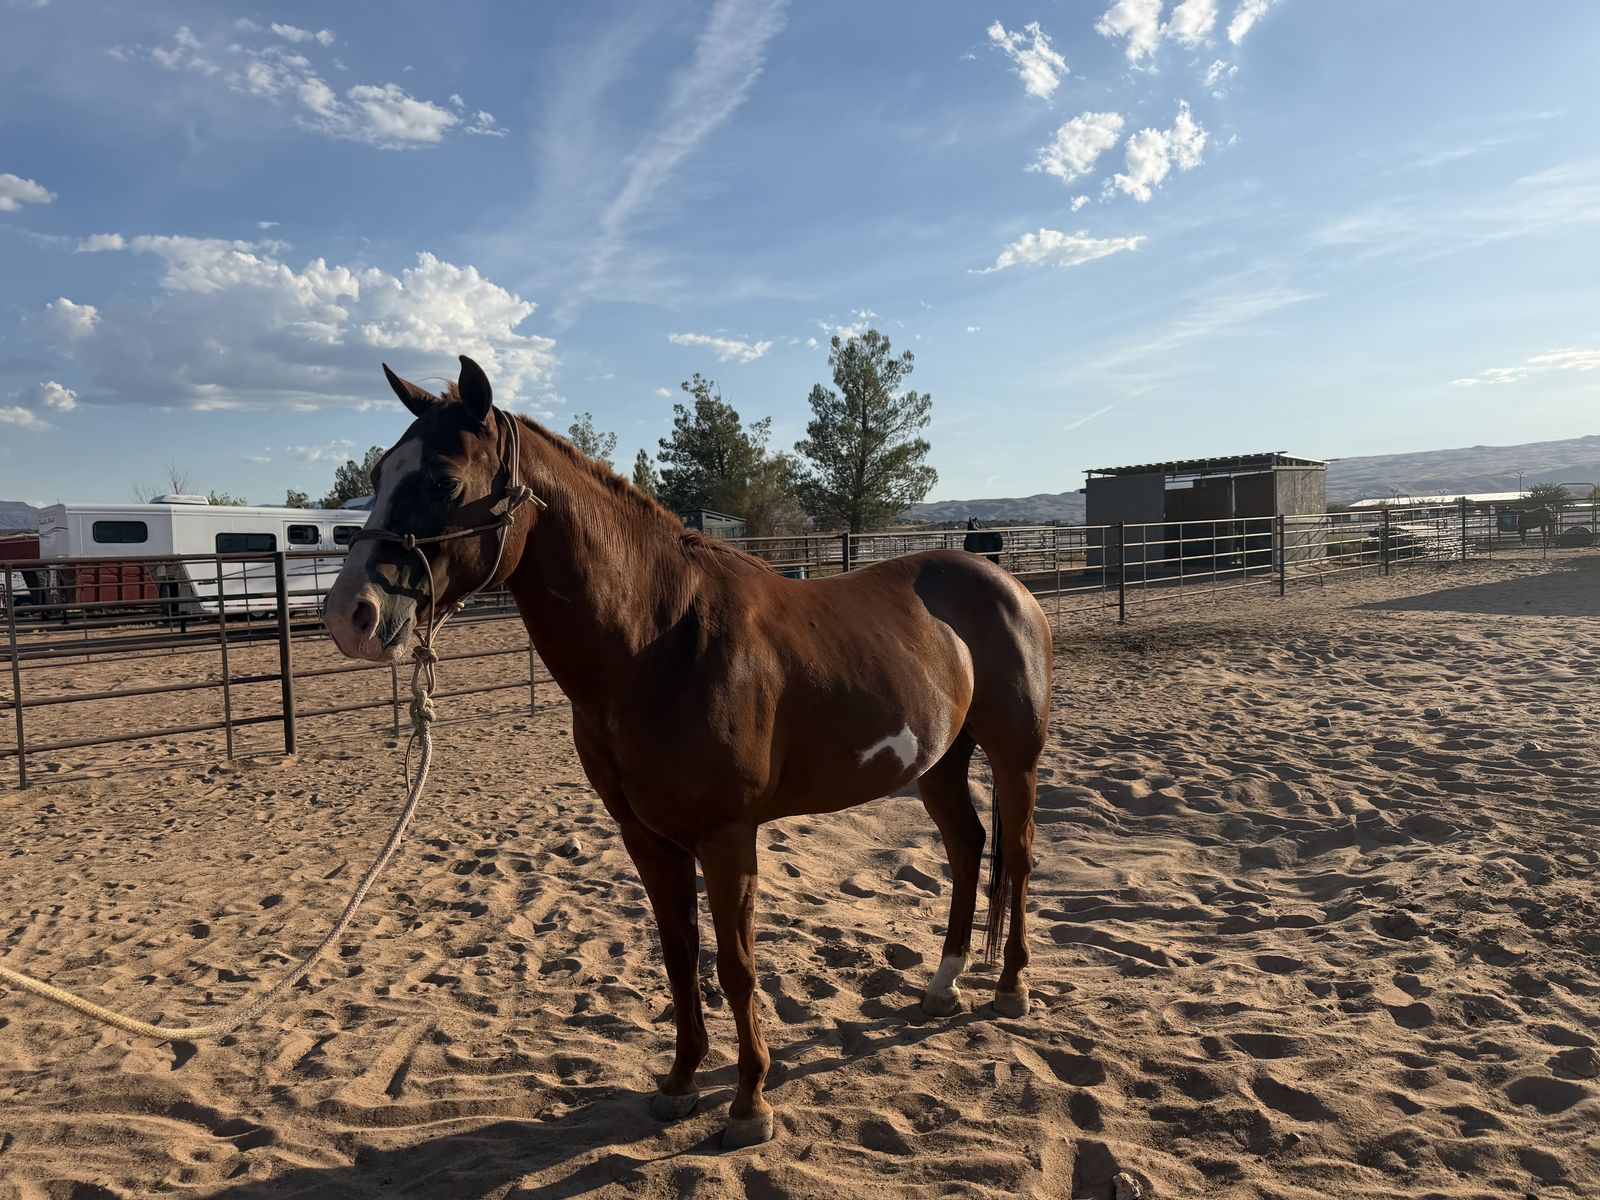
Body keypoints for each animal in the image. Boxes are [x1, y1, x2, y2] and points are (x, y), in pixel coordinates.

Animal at [323, 357, 1052, 1149]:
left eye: (443, 482)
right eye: (379, 473)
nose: (348, 615)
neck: (660, 642)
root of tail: (1008, 584)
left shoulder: (727, 838)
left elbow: (735, 966)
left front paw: (750, 1103)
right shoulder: (647, 838)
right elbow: (679, 960)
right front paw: (678, 1085)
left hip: (1014, 758)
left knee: (1017, 855)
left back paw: (1011, 987)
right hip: (940, 763)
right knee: (968, 848)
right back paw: (942, 986)